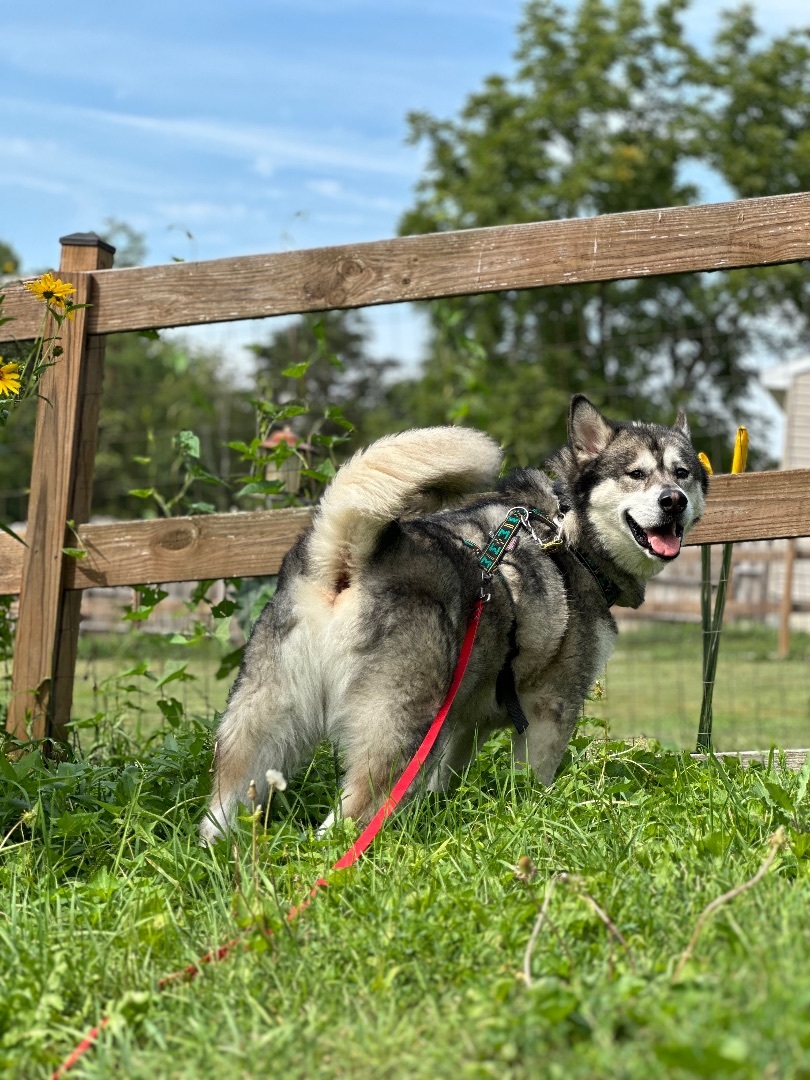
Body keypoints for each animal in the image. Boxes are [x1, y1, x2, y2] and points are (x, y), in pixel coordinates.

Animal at [199, 397, 708, 842]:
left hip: (262, 726)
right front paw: (533, 816)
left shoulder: (463, 723)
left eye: (682, 473)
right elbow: (534, 782)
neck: (567, 530)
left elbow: (443, 780)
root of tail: (348, 559)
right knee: (343, 821)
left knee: (221, 809)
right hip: (396, 731)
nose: (673, 500)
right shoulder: (552, 707)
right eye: (635, 474)